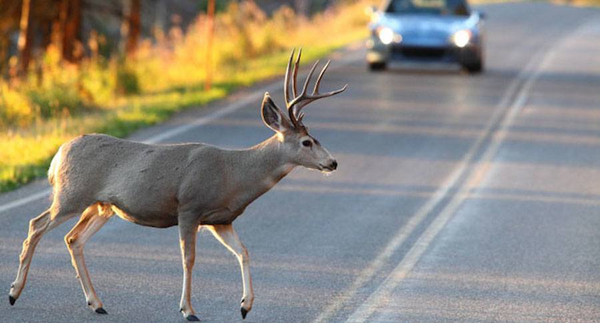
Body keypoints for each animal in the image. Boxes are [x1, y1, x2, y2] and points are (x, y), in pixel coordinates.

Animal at [7, 49, 346, 322]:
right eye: (307, 141)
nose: (332, 163)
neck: (234, 175)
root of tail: (58, 155)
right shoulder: (190, 207)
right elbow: (188, 259)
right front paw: (188, 310)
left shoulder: (221, 219)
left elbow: (244, 252)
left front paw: (245, 306)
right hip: (71, 194)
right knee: (36, 225)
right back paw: (14, 293)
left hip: (102, 205)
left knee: (73, 239)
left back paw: (96, 303)